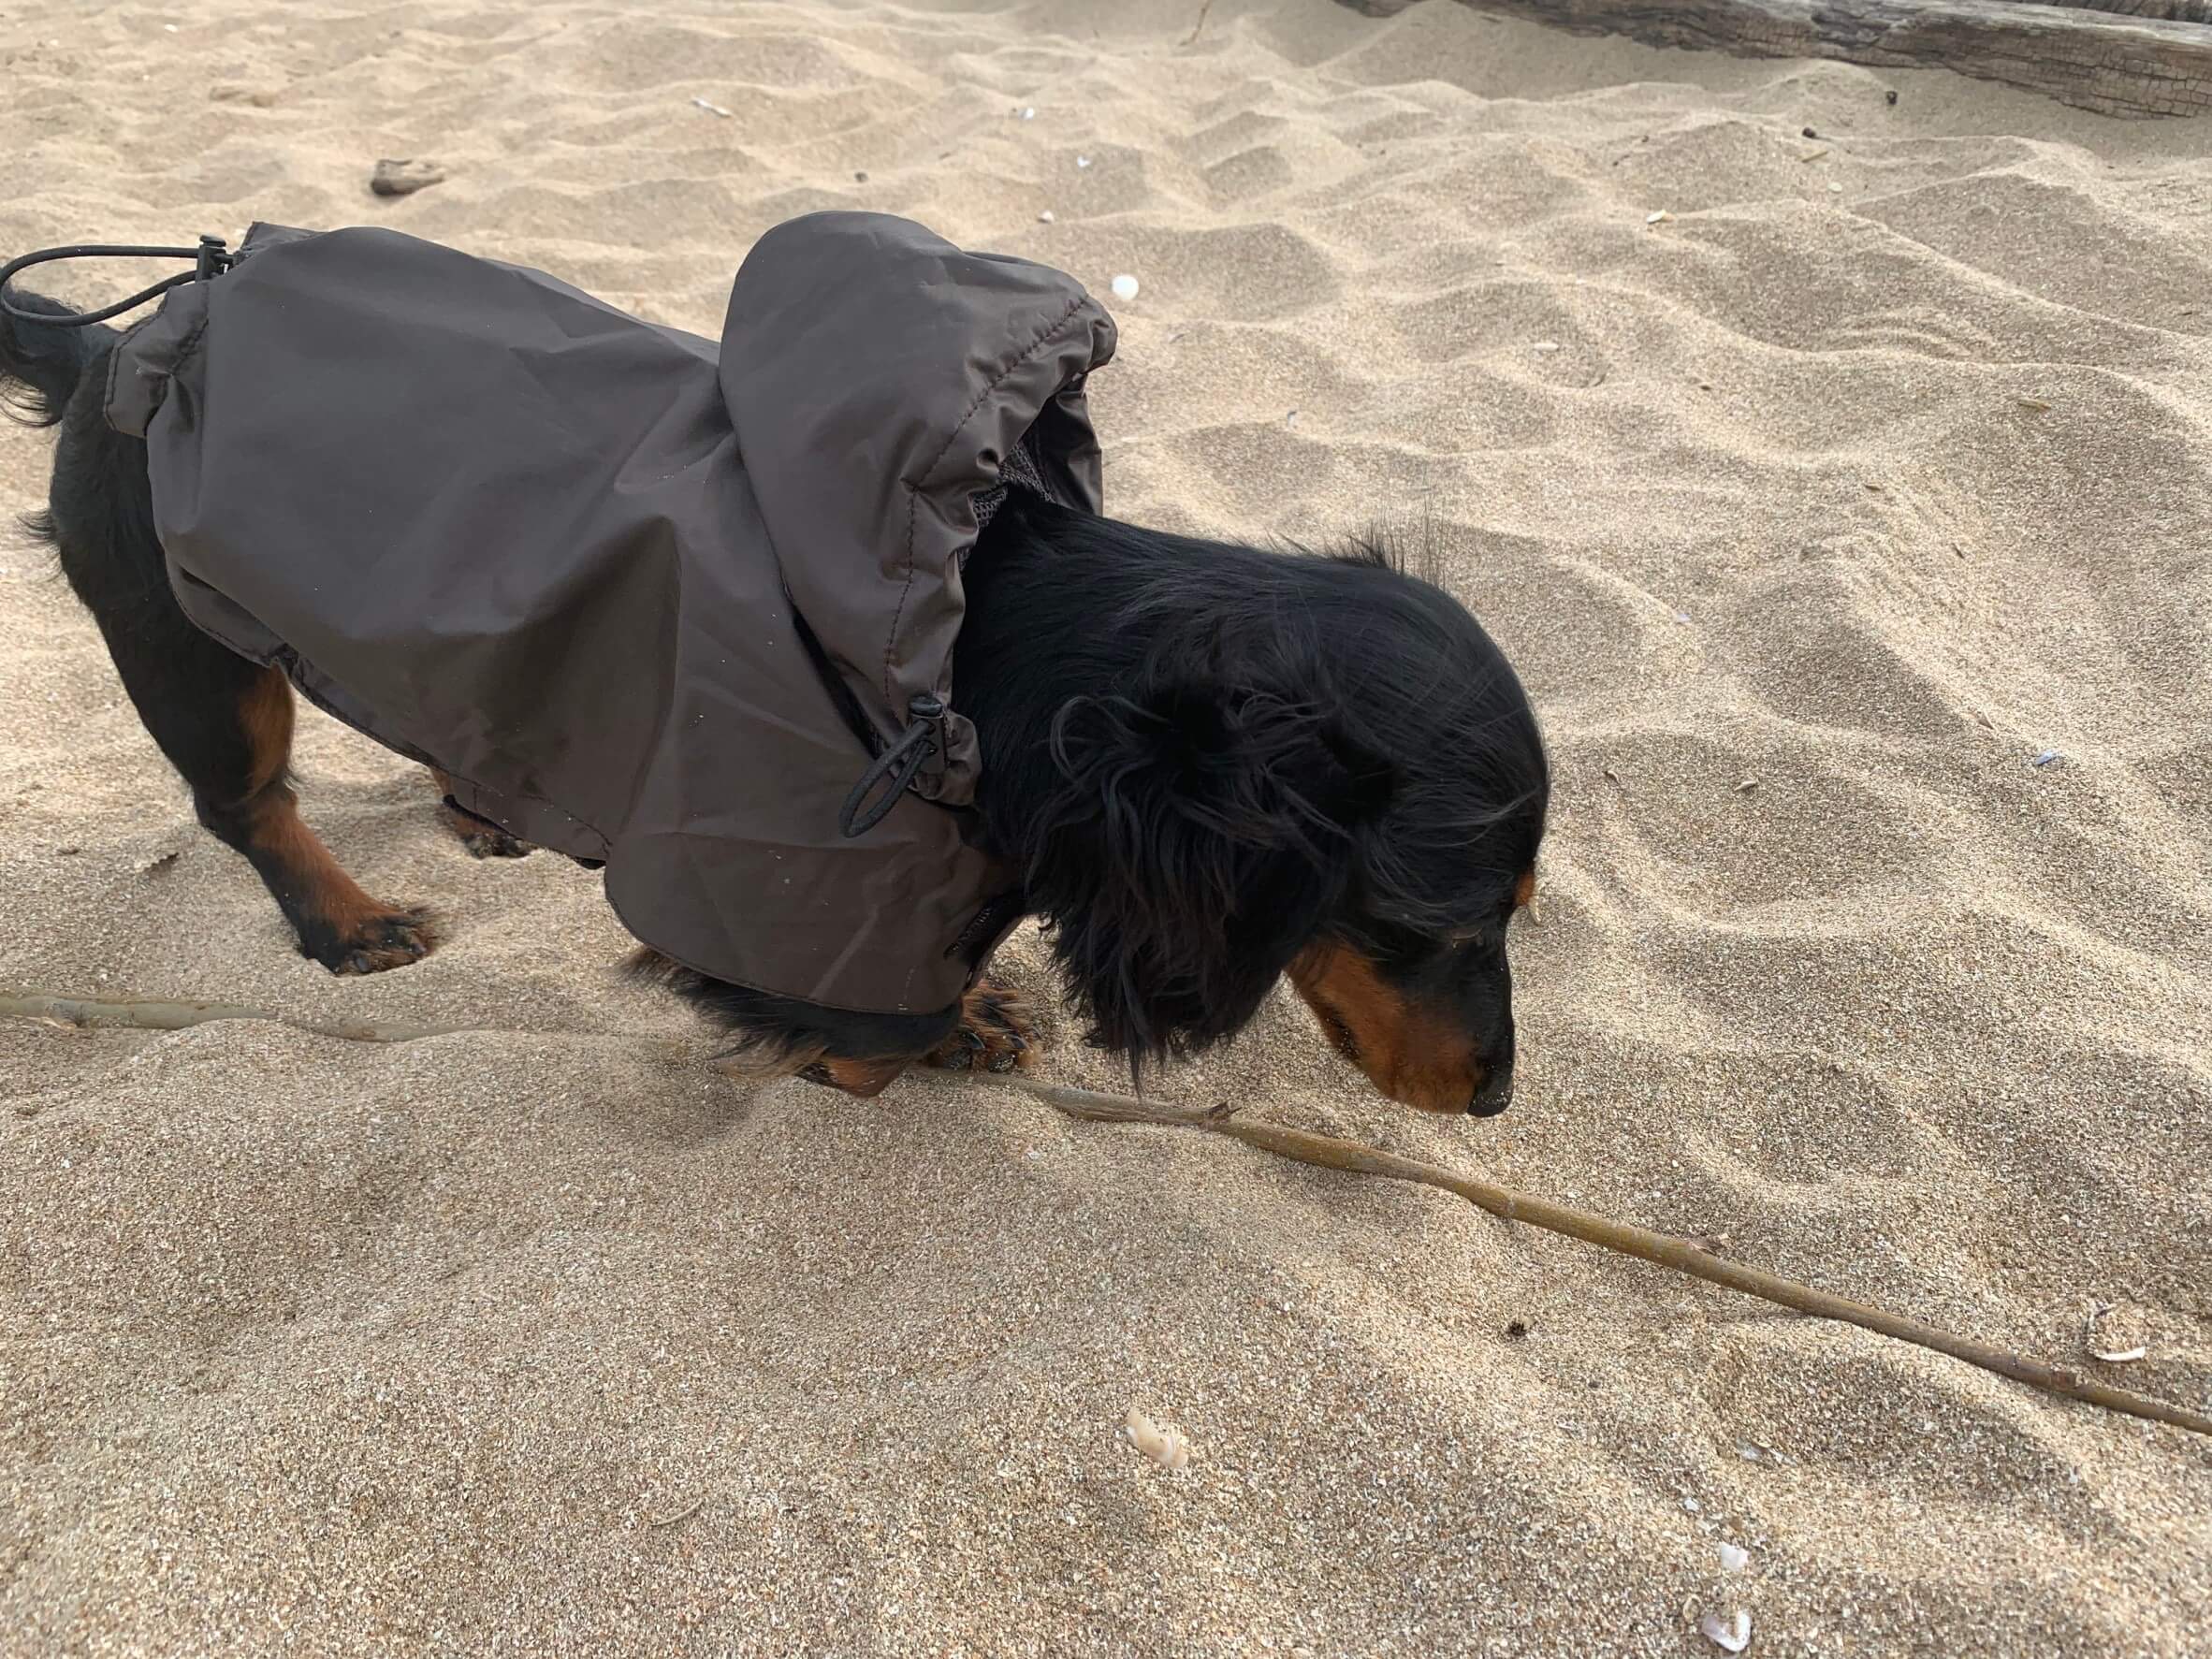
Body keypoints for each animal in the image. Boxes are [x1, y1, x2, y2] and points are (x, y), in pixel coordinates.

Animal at [4, 280, 1557, 1123]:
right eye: (1427, 922)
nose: (1498, 1094)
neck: (968, 645)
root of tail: (114, 346)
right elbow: (857, 1037)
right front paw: (913, 1033)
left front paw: (969, 1001)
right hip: (191, 645)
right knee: (250, 803)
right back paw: (350, 922)